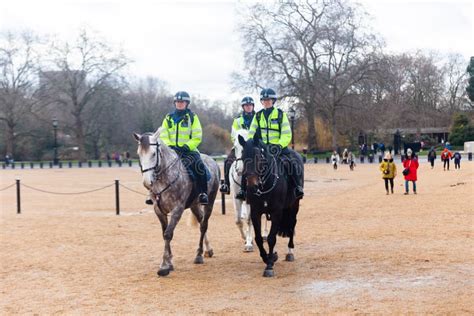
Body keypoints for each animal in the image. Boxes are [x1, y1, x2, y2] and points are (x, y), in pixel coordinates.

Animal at [133, 128, 220, 276]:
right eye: (139, 154)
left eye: (154, 153)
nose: (146, 182)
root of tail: (211, 160)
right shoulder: (158, 210)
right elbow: (164, 233)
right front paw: (169, 262)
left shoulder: (177, 210)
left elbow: (168, 234)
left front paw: (164, 266)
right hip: (194, 205)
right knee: (201, 221)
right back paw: (208, 250)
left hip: (210, 202)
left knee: (204, 225)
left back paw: (199, 255)